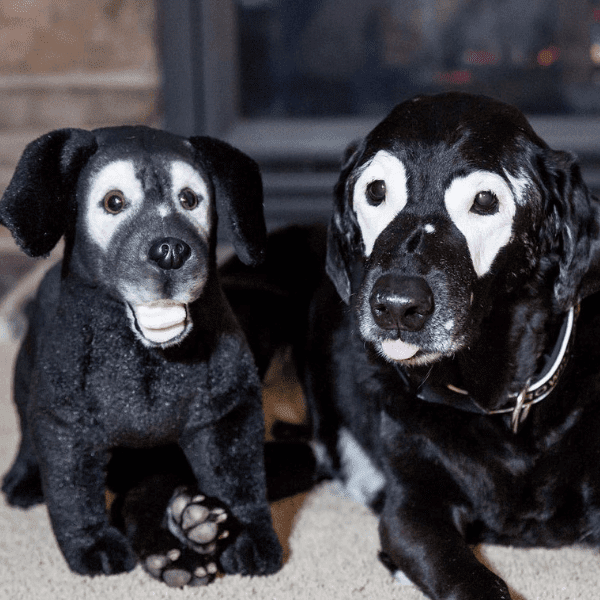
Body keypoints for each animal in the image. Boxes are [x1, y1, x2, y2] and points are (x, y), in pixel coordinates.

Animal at [0, 124, 282, 584]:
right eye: (114, 202)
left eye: (190, 199)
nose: (170, 251)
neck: (147, 360)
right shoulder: (67, 425)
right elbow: (72, 494)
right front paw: (93, 545)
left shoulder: (229, 414)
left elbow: (241, 482)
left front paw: (249, 538)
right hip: (26, 382)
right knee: (27, 430)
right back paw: (24, 481)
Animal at [274, 94, 600, 600]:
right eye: (375, 191)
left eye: (485, 201)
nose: (397, 306)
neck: (500, 402)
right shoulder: (413, 511)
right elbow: (468, 577)